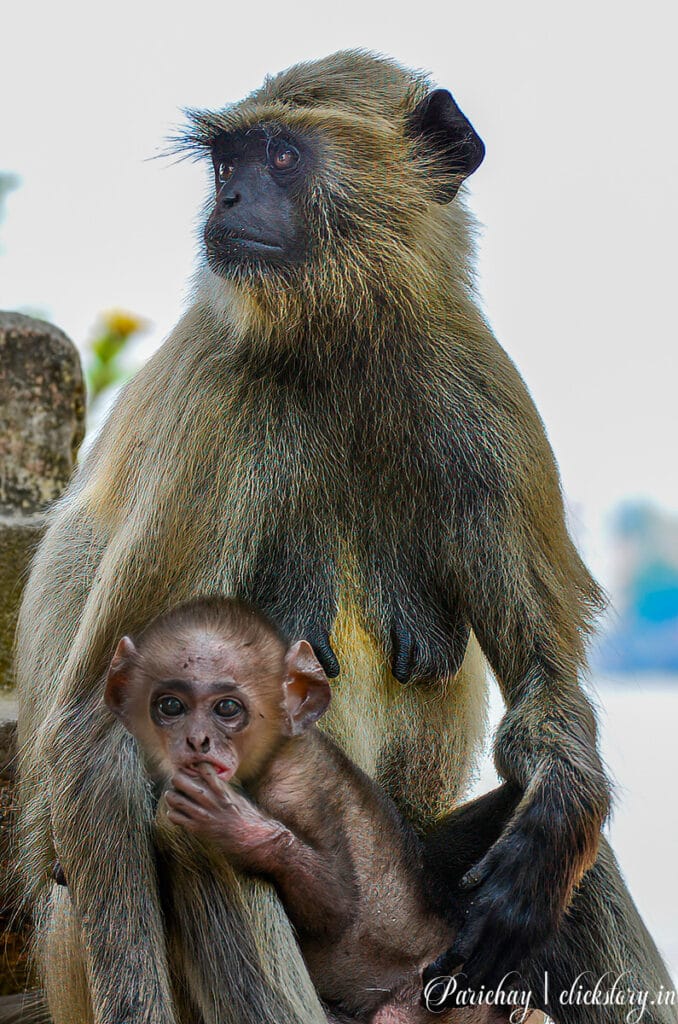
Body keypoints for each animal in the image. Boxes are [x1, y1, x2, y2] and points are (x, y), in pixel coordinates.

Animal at [12, 49, 676, 1024]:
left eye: (282, 159)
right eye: (228, 163)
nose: (229, 201)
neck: (340, 341)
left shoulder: (482, 387)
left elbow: (544, 700)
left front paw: (558, 817)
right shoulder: (216, 394)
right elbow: (97, 731)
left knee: (549, 845)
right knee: (180, 818)